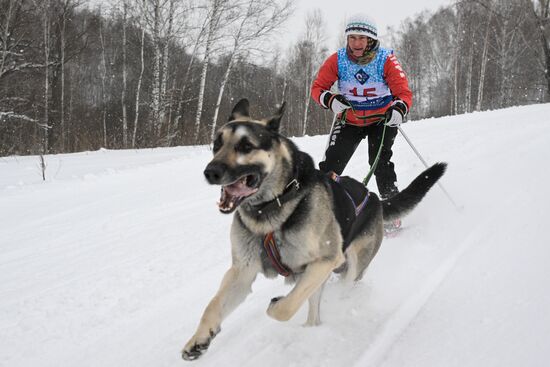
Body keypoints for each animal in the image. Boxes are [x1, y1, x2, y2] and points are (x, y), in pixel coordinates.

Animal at [182, 99, 448, 360]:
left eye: (246, 146)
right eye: (217, 144)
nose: (211, 172)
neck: (272, 207)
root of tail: (373, 197)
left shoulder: (324, 261)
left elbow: (285, 307)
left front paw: (276, 303)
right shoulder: (242, 271)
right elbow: (213, 306)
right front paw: (199, 339)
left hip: (350, 267)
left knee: (341, 288)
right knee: (314, 314)